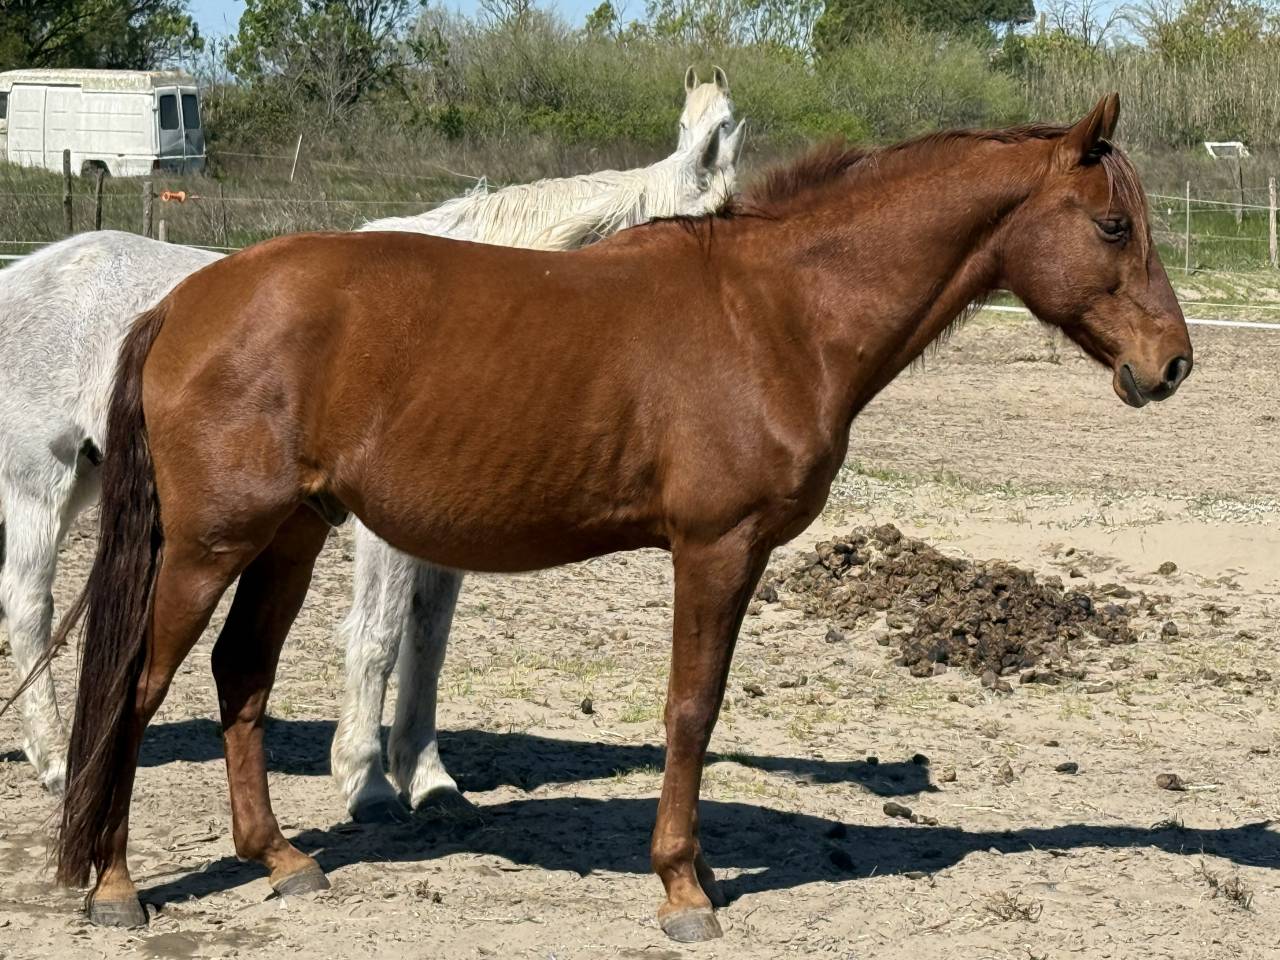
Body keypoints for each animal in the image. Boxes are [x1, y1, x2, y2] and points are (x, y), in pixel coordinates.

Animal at [0, 68, 741, 810]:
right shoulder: (382, 525)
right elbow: (378, 633)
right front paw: (366, 778)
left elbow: (430, 637)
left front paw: (428, 776)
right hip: (43, 487)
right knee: (30, 607)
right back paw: (55, 759)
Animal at [52, 94, 1192, 941]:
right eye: (1112, 225)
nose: (1171, 364)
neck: (777, 314)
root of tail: (188, 301)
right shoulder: (715, 550)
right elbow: (692, 710)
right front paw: (685, 889)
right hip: (207, 547)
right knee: (138, 688)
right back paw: (115, 886)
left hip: (288, 535)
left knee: (240, 675)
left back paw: (282, 861)